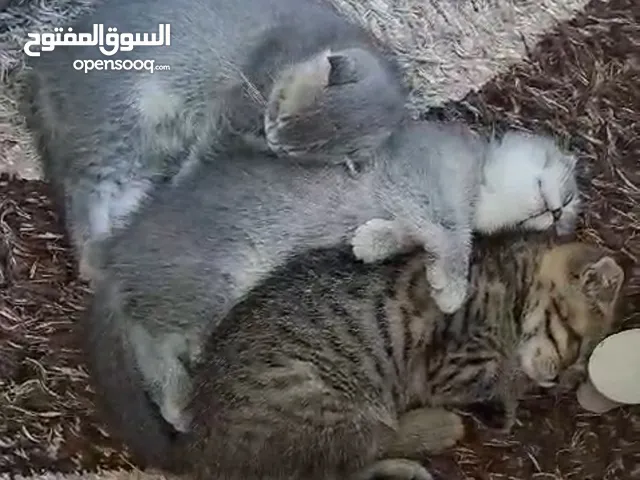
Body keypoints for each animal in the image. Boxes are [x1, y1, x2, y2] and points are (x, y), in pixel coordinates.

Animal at [22, 0, 404, 282]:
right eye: (281, 110)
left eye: (294, 149)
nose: (271, 135)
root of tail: (45, 62)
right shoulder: (229, 112)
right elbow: (200, 160)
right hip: (120, 127)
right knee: (84, 194)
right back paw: (96, 255)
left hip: (147, 153)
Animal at [84, 118, 580, 470]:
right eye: (571, 192)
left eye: (567, 212)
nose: (557, 212)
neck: (476, 178)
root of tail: (119, 252)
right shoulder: (422, 182)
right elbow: (450, 230)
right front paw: (452, 286)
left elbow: (407, 234)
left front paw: (374, 241)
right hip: (213, 281)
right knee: (149, 338)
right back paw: (177, 401)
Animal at [186, 232, 624, 480]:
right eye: (576, 346)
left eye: (575, 377)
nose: (558, 380)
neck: (510, 280)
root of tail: (202, 451)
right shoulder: (449, 364)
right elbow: (496, 378)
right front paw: (508, 400)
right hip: (321, 398)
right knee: (366, 441)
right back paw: (436, 427)